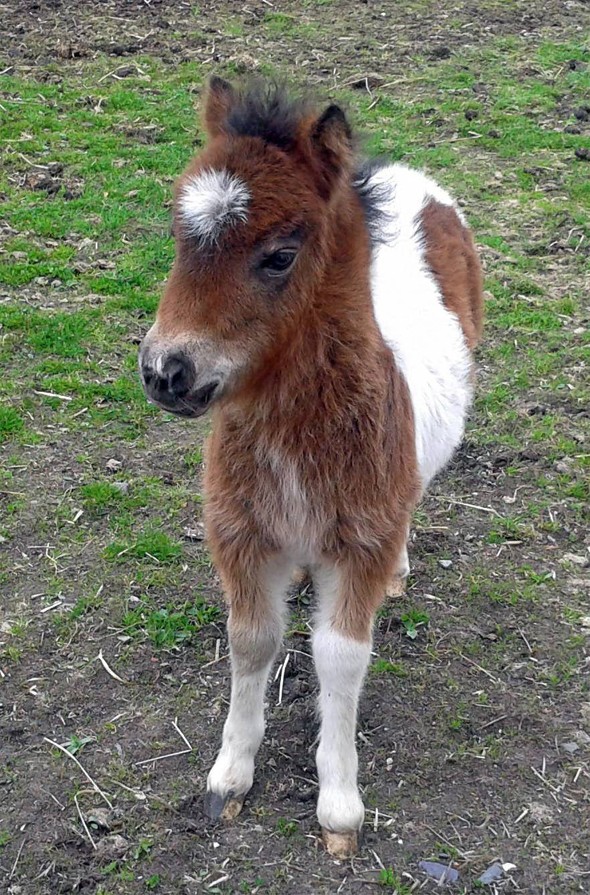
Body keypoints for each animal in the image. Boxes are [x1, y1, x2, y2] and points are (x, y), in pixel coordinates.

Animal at [139, 76, 483, 858]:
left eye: (279, 255)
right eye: (178, 234)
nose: (166, 372)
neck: (296, 446)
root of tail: (407, 177)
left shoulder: (358, 546)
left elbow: (338, 657)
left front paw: (340, 804)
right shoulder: (240, 535)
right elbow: (252, 640)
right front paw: (230, 776)